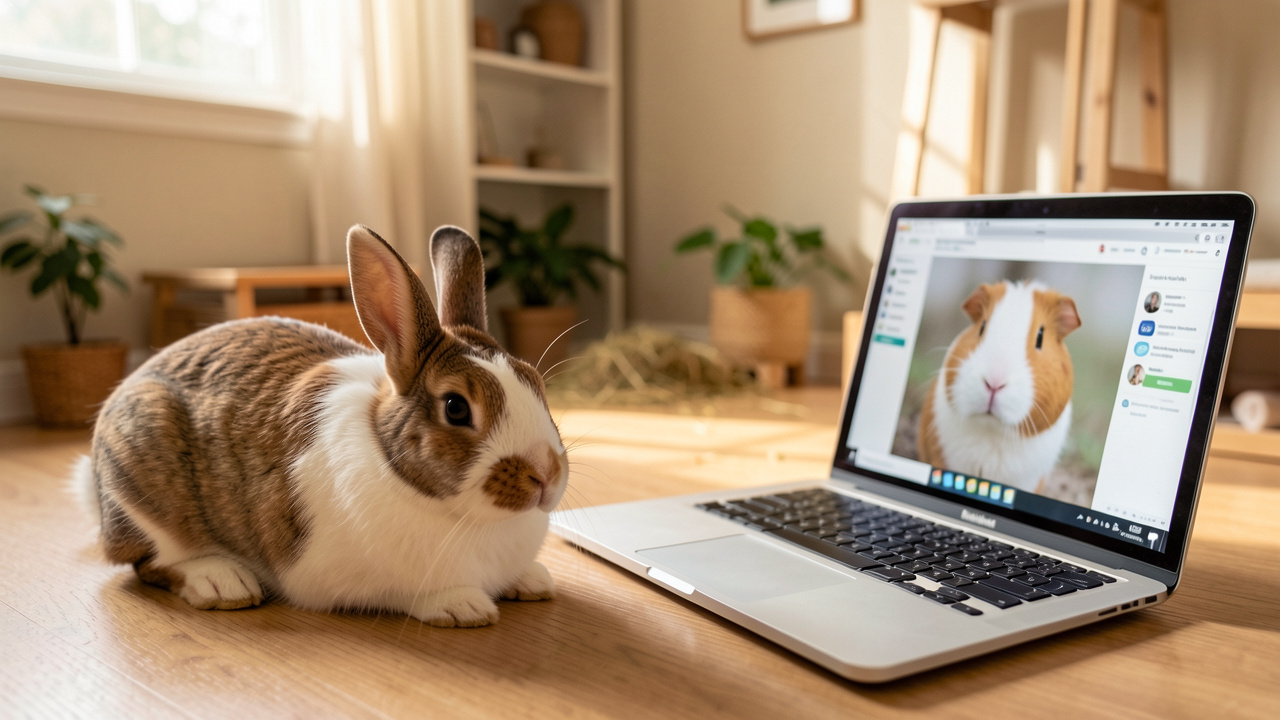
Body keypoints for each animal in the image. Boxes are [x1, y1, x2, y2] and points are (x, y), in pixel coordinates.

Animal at [76, 224, 569, 627]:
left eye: (535, 382)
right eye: (456, 408)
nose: (546, 475)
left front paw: (532, 580)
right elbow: (408, 594)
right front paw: (461, 606)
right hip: (142, 482)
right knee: (147, 561)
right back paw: (221, 580)